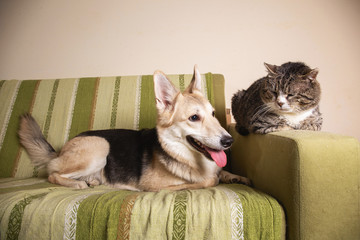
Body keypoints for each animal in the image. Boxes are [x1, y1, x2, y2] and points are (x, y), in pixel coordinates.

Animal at [19, 65, 250, 191]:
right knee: (52, 173)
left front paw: (235, 176)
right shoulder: (156, 187)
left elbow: (222, 171)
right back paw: (77, 183)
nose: (229, 141)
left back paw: (92, 181)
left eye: (213, 114)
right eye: (194, 117)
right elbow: (209, 180)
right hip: (100, 146)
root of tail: (61, 150)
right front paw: (216, 177)